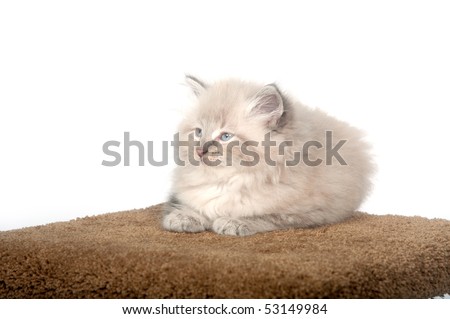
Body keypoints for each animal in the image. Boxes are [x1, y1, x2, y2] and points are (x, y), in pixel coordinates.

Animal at [163, 74, 374, 235]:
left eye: (225, 136)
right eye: (199, 132)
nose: (200, 150)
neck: (229, 179)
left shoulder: (305, 212)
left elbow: (262, 216)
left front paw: (232, 222)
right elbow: (193, 207)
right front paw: (183, 218)